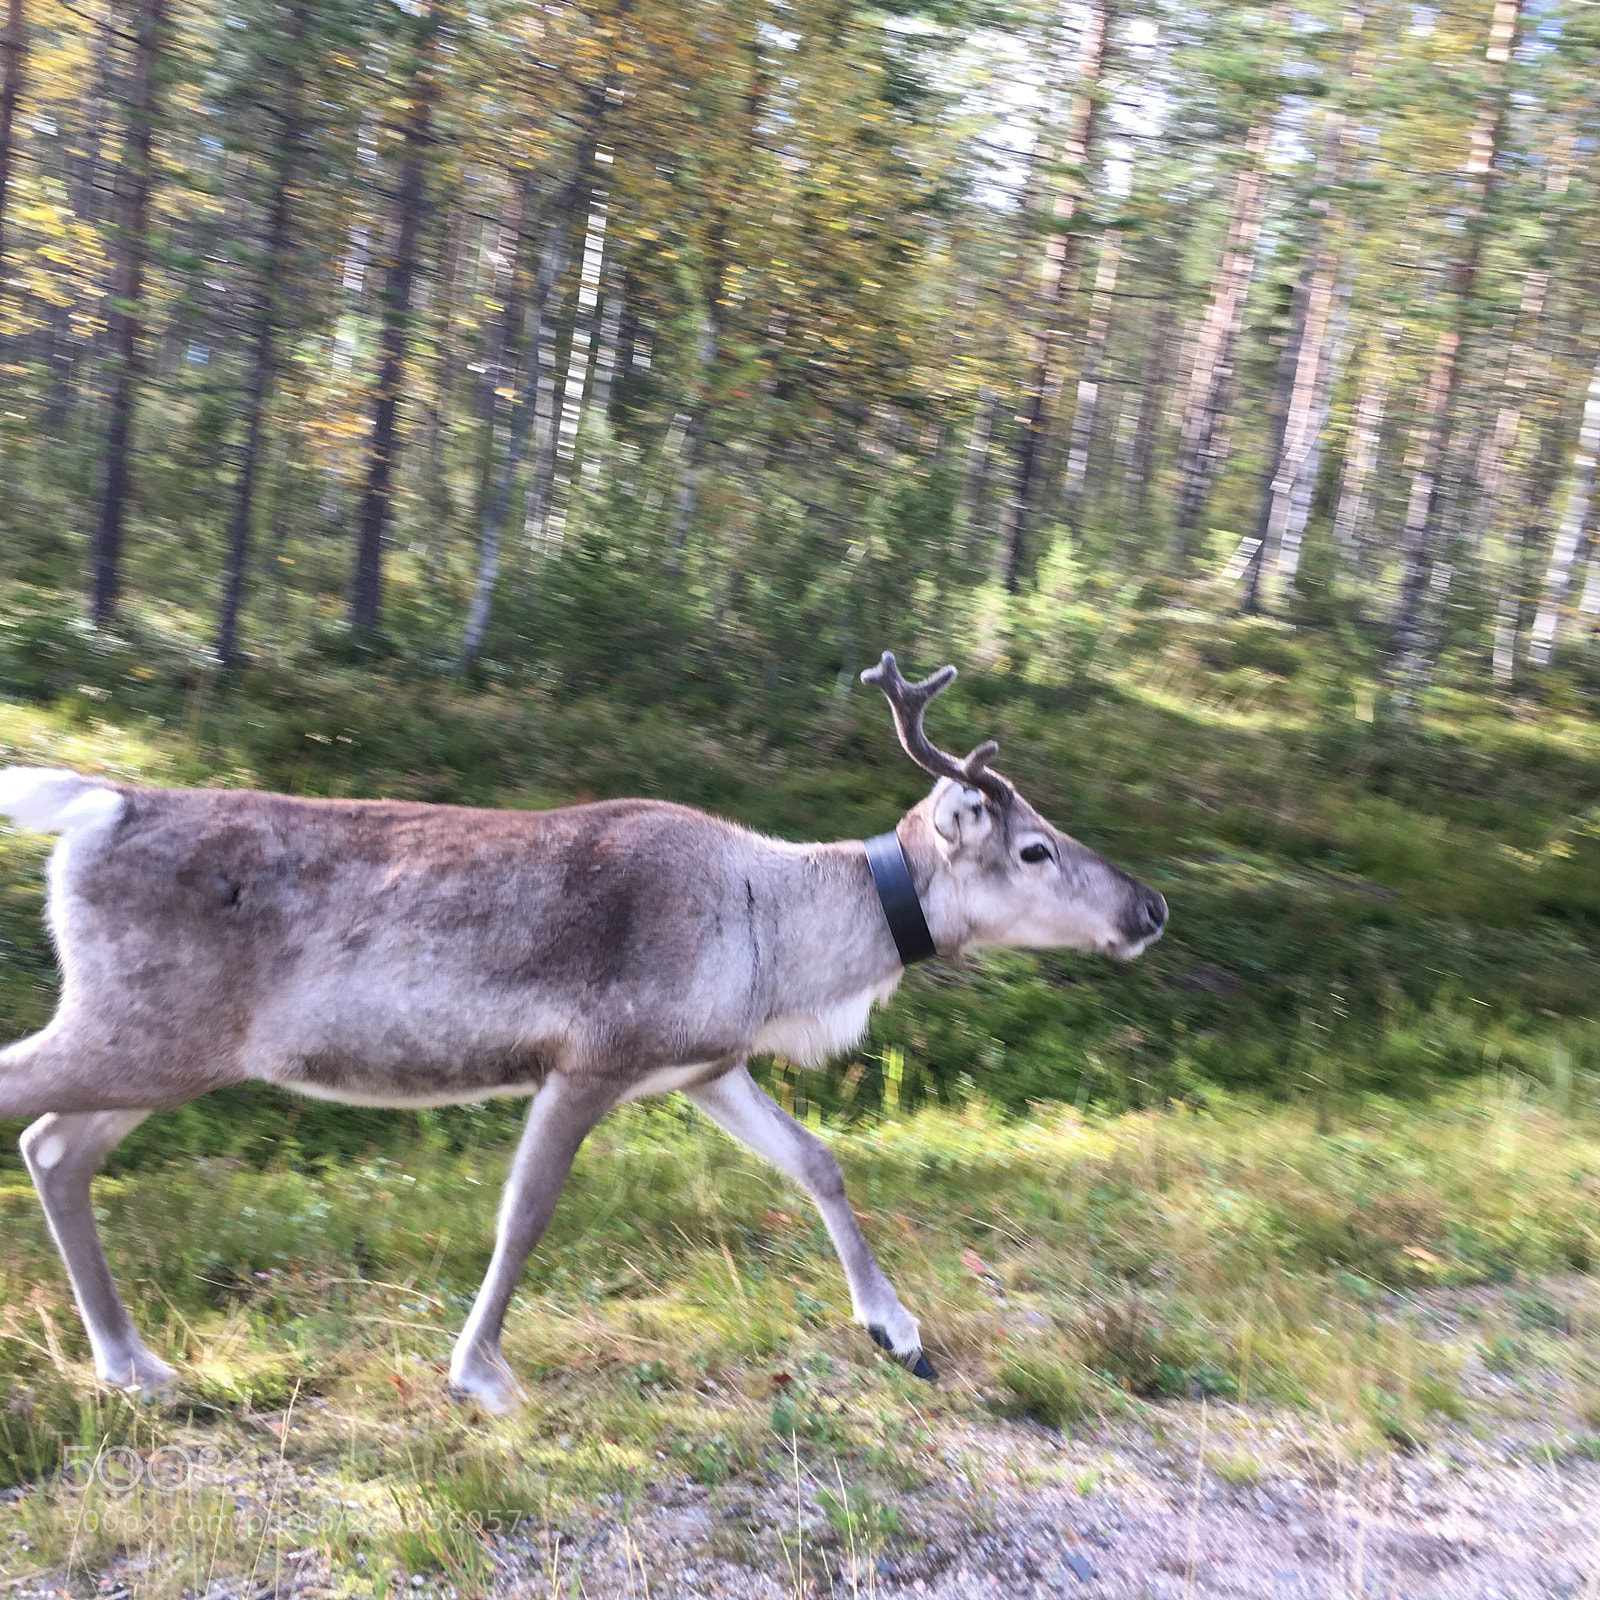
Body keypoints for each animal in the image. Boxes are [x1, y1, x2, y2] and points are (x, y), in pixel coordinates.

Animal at [0, 653, 1166, 1412]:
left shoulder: (706, 1066)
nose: (1149, 907)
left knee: (55, 1145)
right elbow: (526, 1213)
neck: (780, 947)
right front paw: (478, 1374)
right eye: (1031, 848)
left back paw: (134, 1364)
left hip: (170, 1051)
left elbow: (819, 1163)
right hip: (147, 1029)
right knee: (34, 1113)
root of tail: (98, 804)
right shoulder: (590, 1058)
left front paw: (900, 1332)